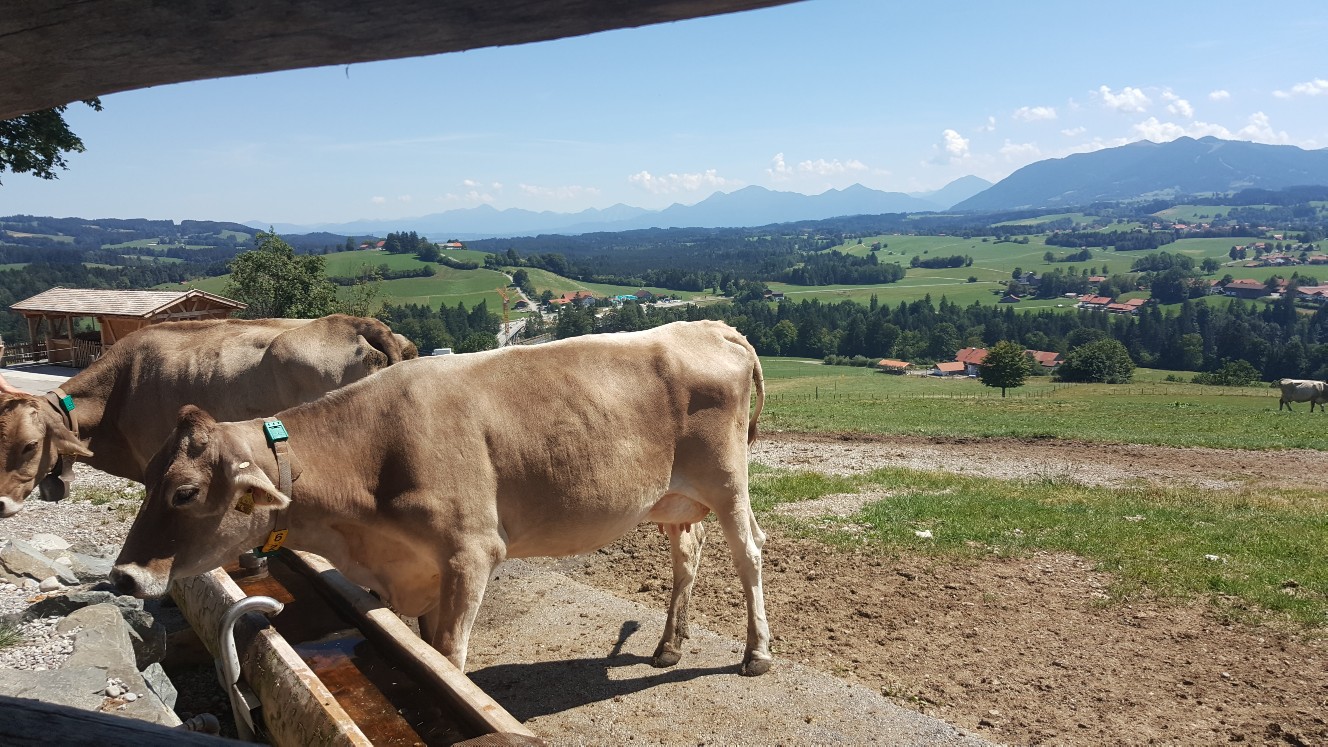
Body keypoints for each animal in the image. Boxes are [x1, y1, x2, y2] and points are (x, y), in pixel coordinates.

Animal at [111, 320, 773, 676]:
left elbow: (451, 658)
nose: (122, 576)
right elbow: (428, 652)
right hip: (673, 497)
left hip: (727, 480)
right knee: (687, 557)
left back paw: (756, 653)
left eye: (185, 492)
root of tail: (711, 327)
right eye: (148, 477)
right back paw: (668, 646)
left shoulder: (469, 553)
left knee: (749, 555)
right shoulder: (416, 568)